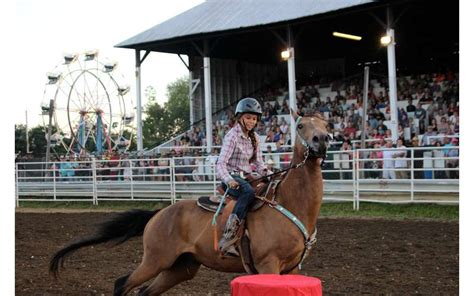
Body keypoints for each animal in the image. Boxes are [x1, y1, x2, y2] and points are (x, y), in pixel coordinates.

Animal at [49, 109, 330, 296]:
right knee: (122, 284)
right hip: (155, 260)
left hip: (181, 267)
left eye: (325, 124)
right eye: (301, 125)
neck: (290, 202)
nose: (323, 139)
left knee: (145, 292)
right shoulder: (267, 265)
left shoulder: (291, 270)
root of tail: (159, 214)